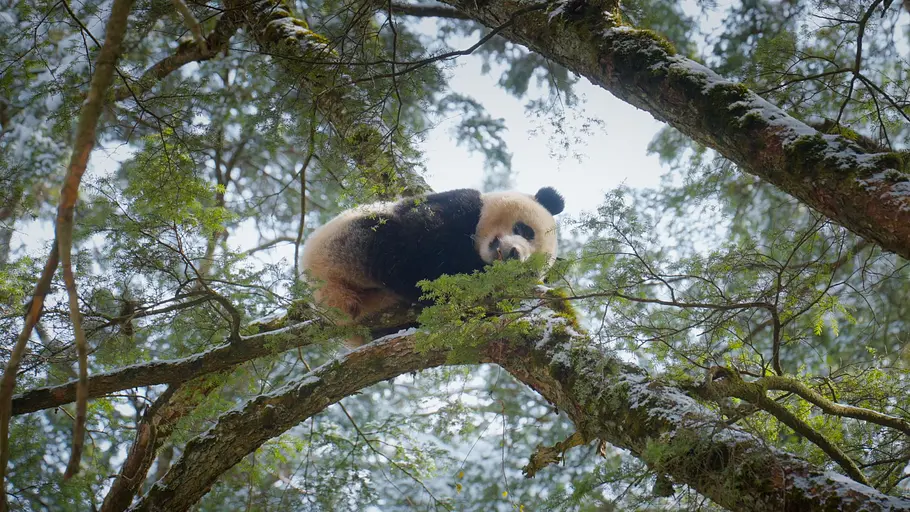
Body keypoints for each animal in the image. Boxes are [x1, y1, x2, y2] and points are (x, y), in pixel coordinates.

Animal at [300, 187, 565, 343]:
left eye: (528, 271)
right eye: (525, 230)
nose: (514, 255)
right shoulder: (458, 206)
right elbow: (422, 237)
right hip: (346, 243)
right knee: (394, 253)